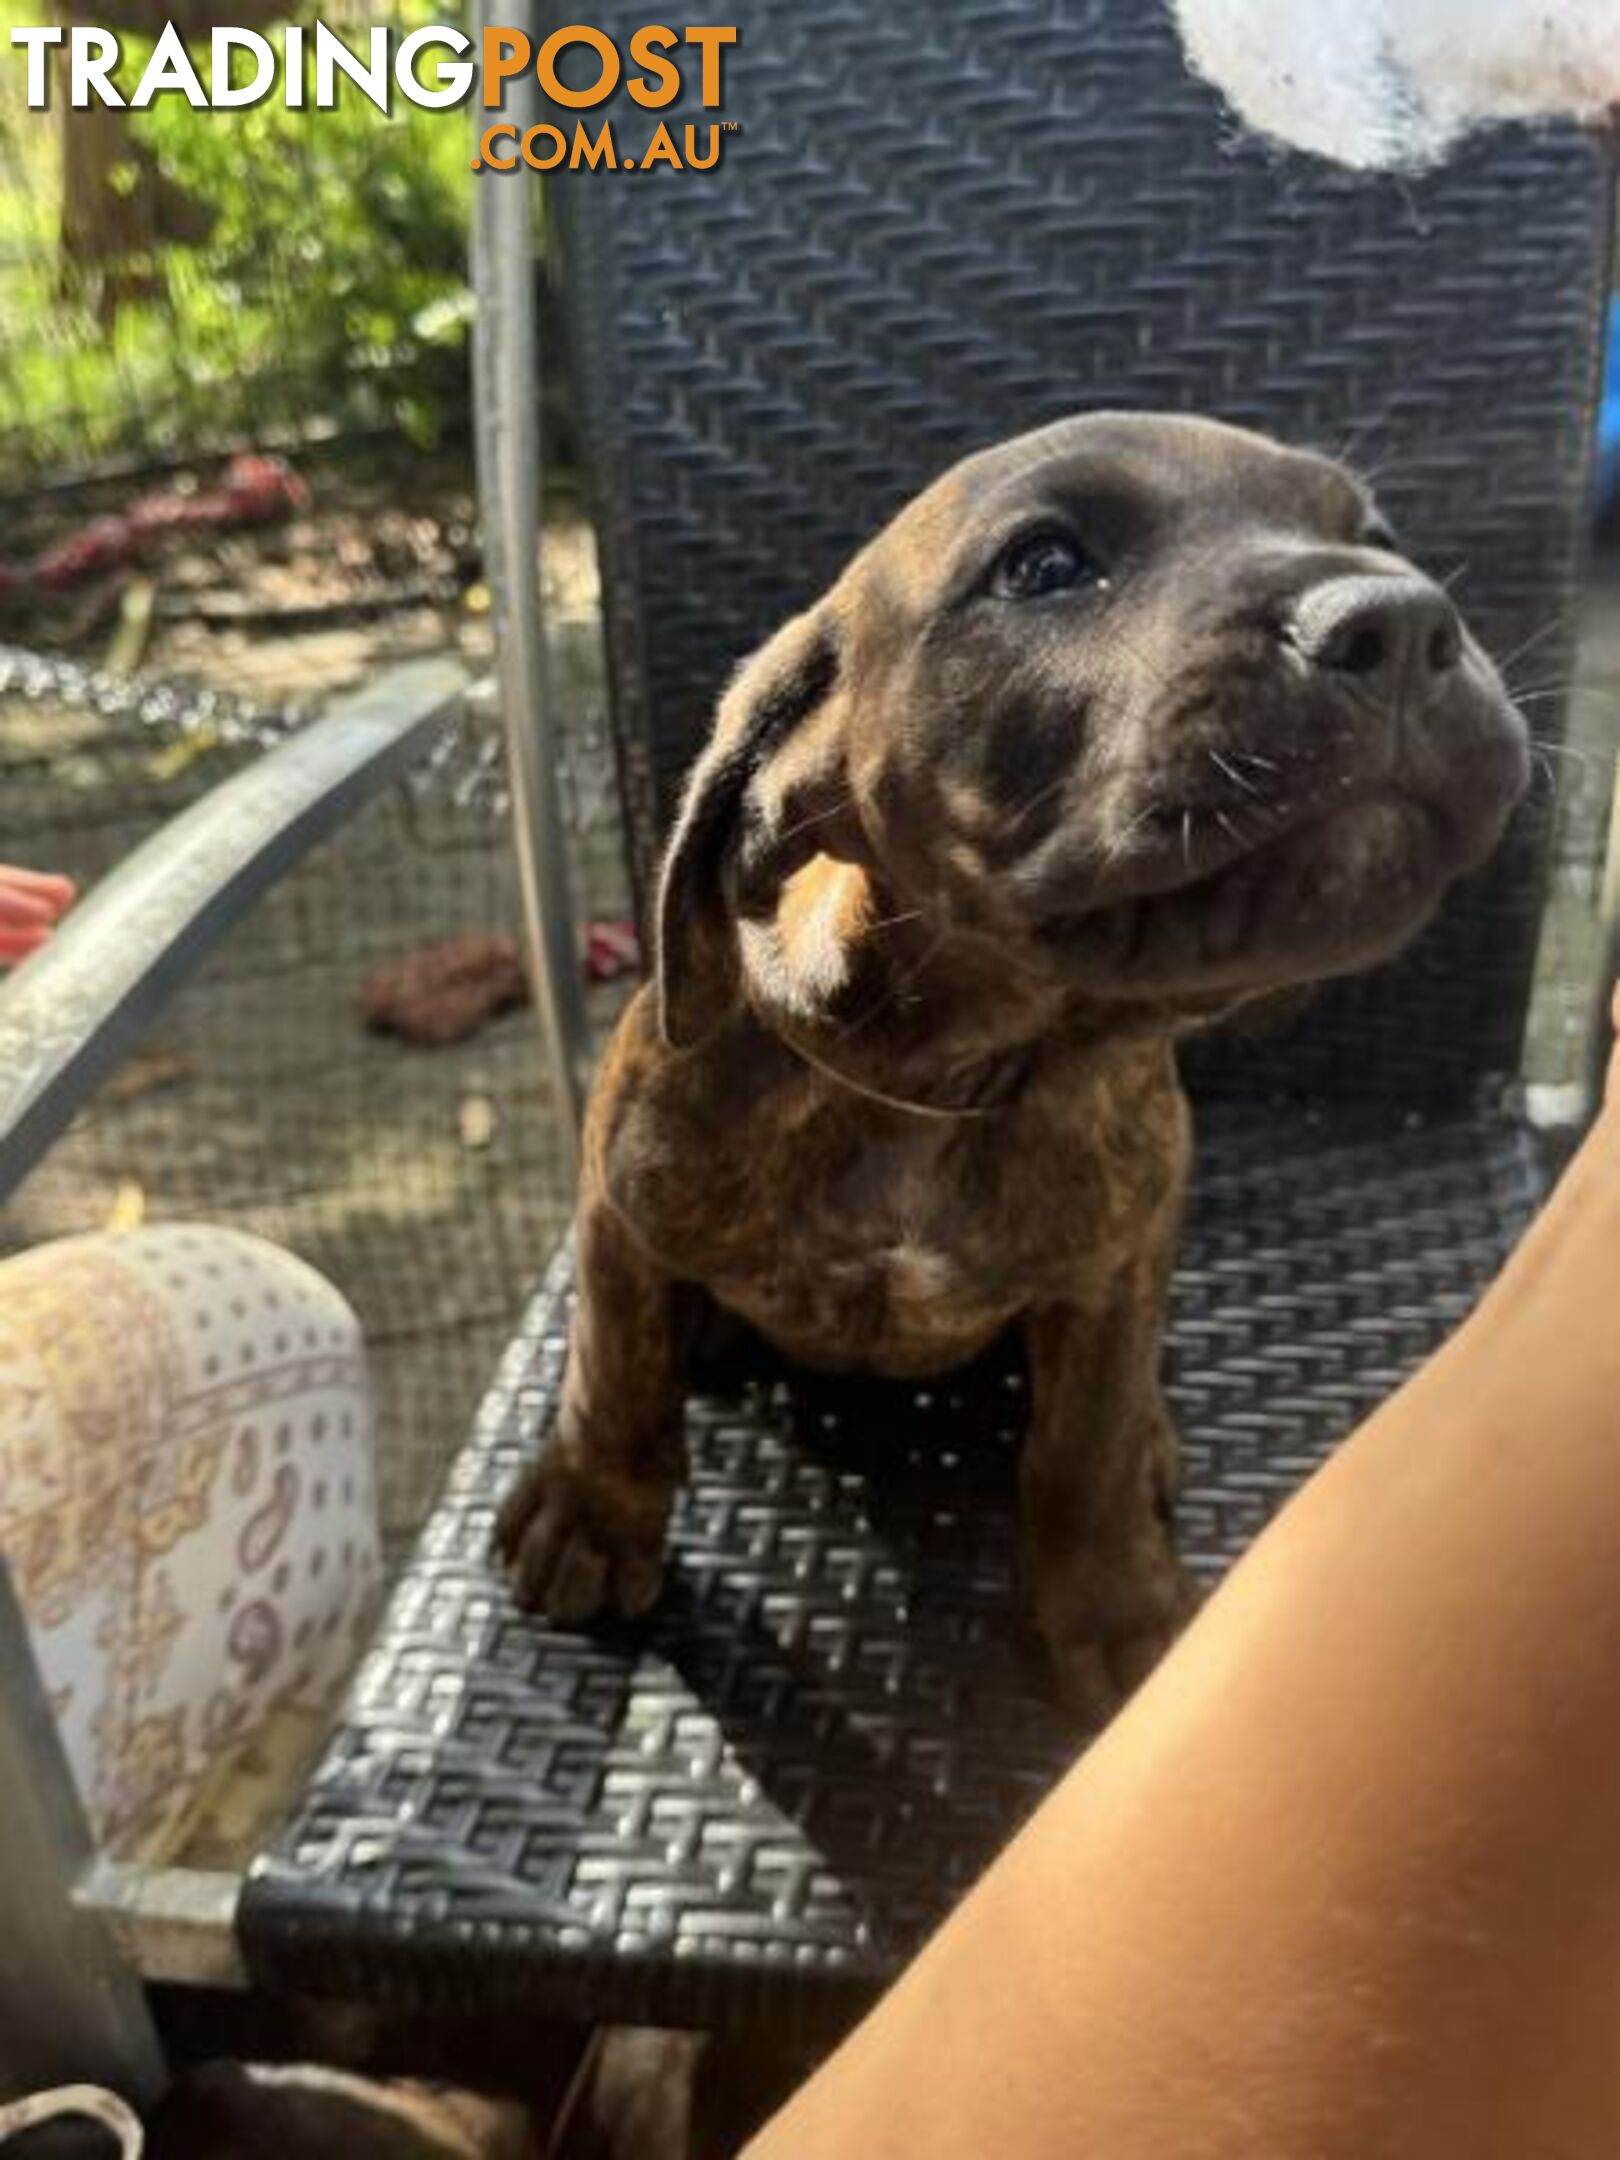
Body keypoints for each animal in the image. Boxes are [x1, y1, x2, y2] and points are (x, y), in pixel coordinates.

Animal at [498, 408, 1537, 1719]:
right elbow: (615, 1372)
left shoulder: (1111, 1271)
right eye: (1044, 566)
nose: (1395, 620)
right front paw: (594, 1513)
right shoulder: (622, 1219)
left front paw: (1114, 1602)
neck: (957, 1073)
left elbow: (1082, 1446)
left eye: (1379, 537)